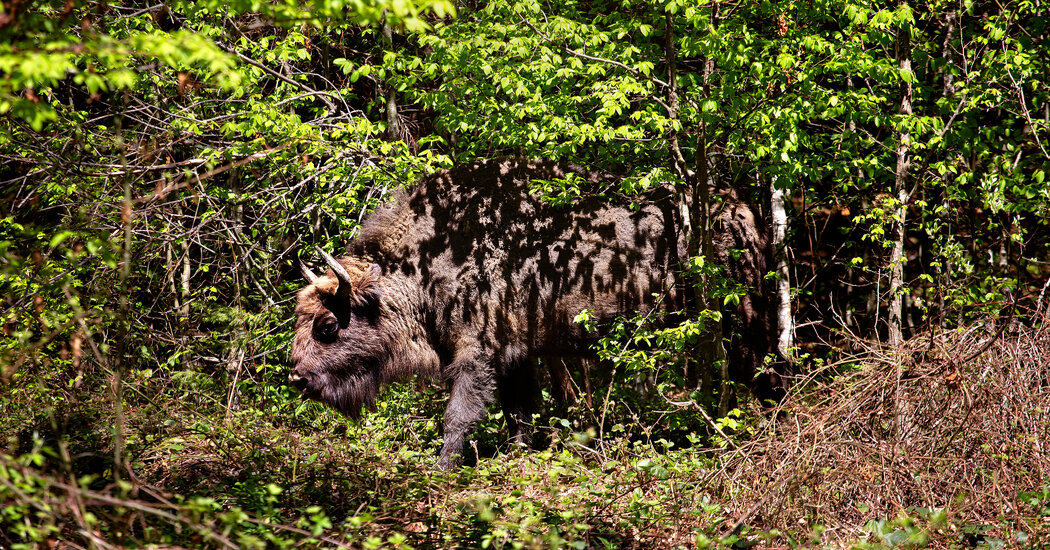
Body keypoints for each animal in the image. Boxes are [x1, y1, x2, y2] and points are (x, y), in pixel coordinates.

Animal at [287, 157, 781, 468]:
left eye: (327, 325)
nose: (296, 377)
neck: (426, 264)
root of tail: (741, 208)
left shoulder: (478, 354)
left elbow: (460, 414)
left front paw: (441, 468)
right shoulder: (515, 354)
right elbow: (520, 410)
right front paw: (521, 454)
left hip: (741, 320)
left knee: (761, 367)